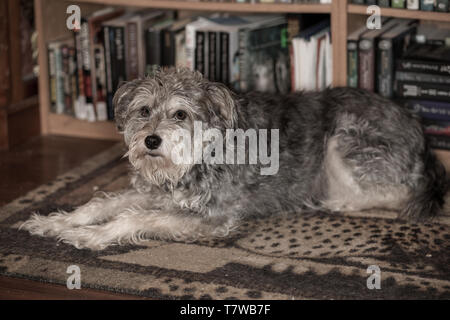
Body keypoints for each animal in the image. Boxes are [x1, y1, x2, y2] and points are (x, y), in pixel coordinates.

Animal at [21, 67, 446, 250]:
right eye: (143, 110)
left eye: (180, 114)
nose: (151, 141)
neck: (197, 158)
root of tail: (421, 134)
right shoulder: (155, 193)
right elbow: (99, 204)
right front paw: (54, 222)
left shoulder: (214, 217)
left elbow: (133, 218)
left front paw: (89, 237)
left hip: (342, 143)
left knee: (398, 192)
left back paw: (334, 201)